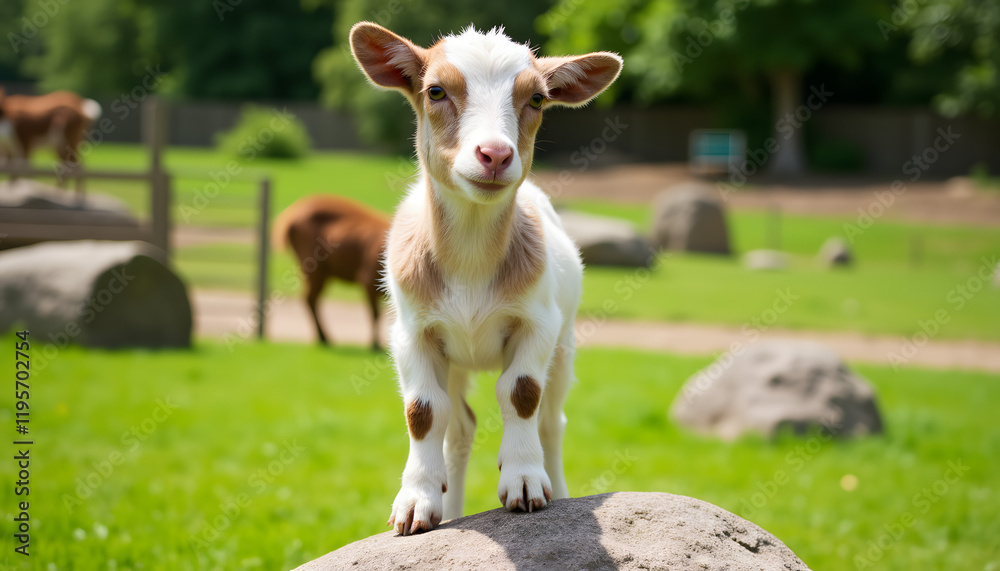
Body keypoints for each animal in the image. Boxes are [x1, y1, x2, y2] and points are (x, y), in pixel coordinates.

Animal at [272, 194, 390, 350]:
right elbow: (375, 314)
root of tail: (288, 218)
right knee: (309, 299)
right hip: (312, 266)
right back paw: (324, 338)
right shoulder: (367, 279)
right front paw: (374, 345)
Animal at [350, 22, 621, 534]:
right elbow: (422, 411)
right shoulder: (412, 333)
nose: (495, 154)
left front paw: (524, 483)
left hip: (565, 344)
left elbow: (521, 393)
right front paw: (415, 503)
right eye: (435, 90)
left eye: (536, 98)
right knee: (458, 428)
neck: (472, 261)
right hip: (455, 359)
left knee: (551, 422)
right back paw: (452, 510)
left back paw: (558, 488)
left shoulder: (539, 323)